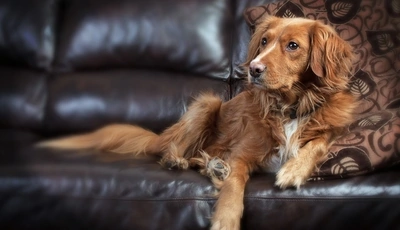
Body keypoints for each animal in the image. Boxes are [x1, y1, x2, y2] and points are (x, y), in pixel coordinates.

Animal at [39, 16, 358, 230]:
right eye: (264, 41)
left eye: (293, 46)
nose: (254, 69)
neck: (289, 107)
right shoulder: (241, 155)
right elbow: (233, 188)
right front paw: (226, 220)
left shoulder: (332, 128)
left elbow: (318, 143)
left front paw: (293, 170)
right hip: (207, 104)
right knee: (178, 150)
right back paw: (181, 161)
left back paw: (212, 165)